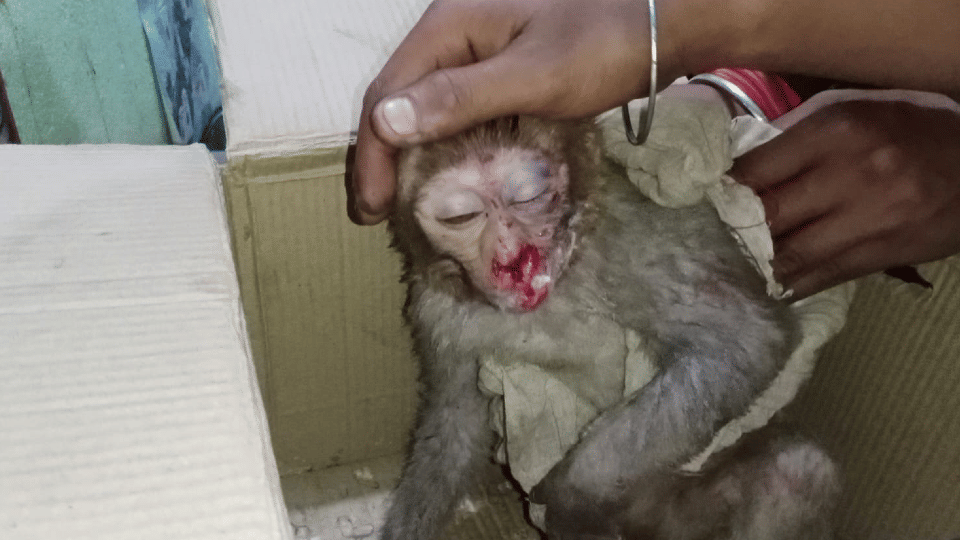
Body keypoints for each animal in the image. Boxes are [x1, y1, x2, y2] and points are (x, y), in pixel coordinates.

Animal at [382, 115, 839, 540]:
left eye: (528, 197)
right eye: (462, 217)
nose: (508, 249)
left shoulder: (628, 238)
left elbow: (747, 339)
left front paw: (572, 492)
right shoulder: (437, 310)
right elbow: (455, 423)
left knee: (799, 470)